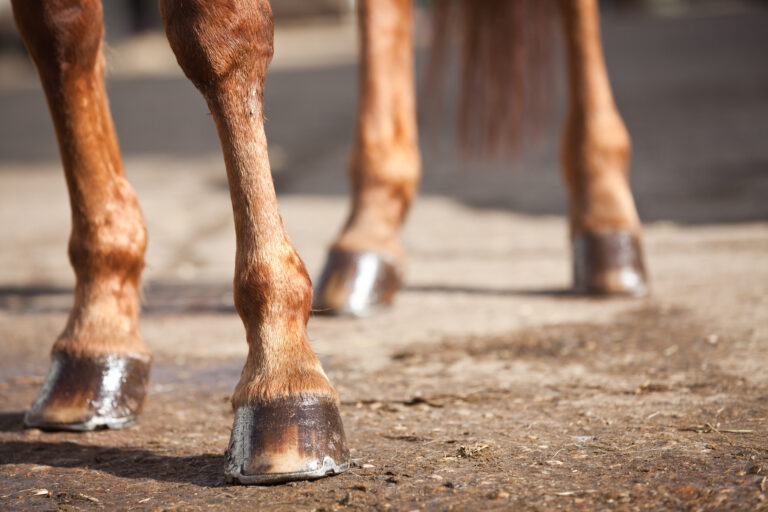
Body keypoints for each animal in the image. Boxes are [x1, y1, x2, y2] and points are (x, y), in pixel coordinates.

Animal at [10, 0, 646, 485]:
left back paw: (607, 223)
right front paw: (98, 332)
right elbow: (57, 30)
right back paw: (370, 235)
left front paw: (282, 372)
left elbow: (215, 31)